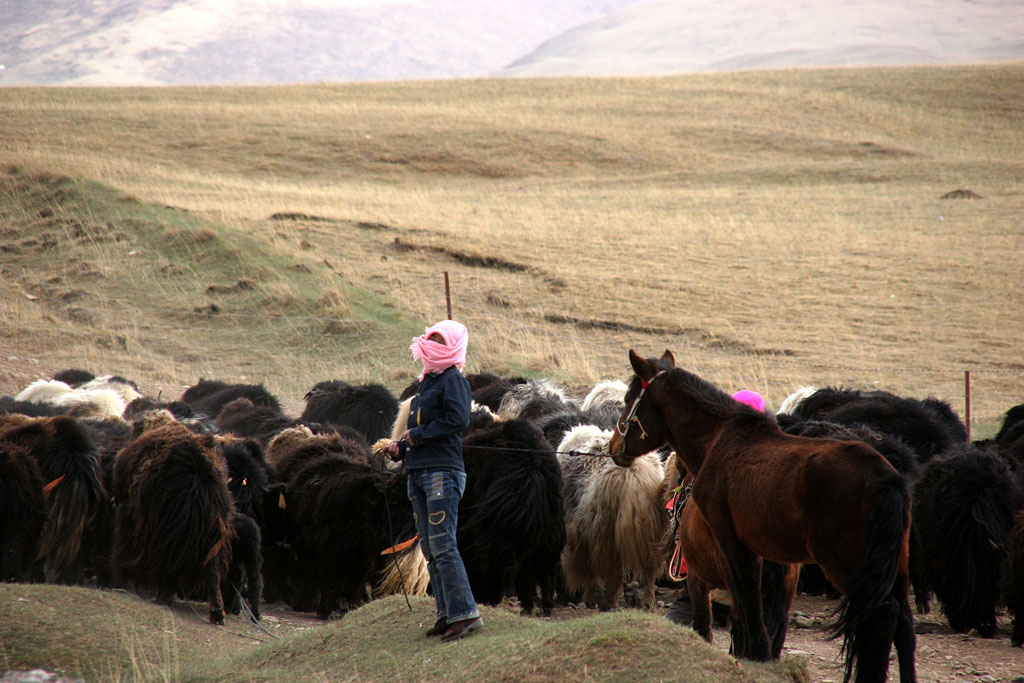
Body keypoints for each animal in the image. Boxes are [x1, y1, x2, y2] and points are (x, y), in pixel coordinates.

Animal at [610, 352, 917, 683]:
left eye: (629, 399)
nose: (614, 447)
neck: (718, 439)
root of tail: (886, 478)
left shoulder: (731, 545)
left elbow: (748, 605)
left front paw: (756, 656)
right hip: (895, 566)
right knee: (903, 626)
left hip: (847, 565)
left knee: (881, 615)